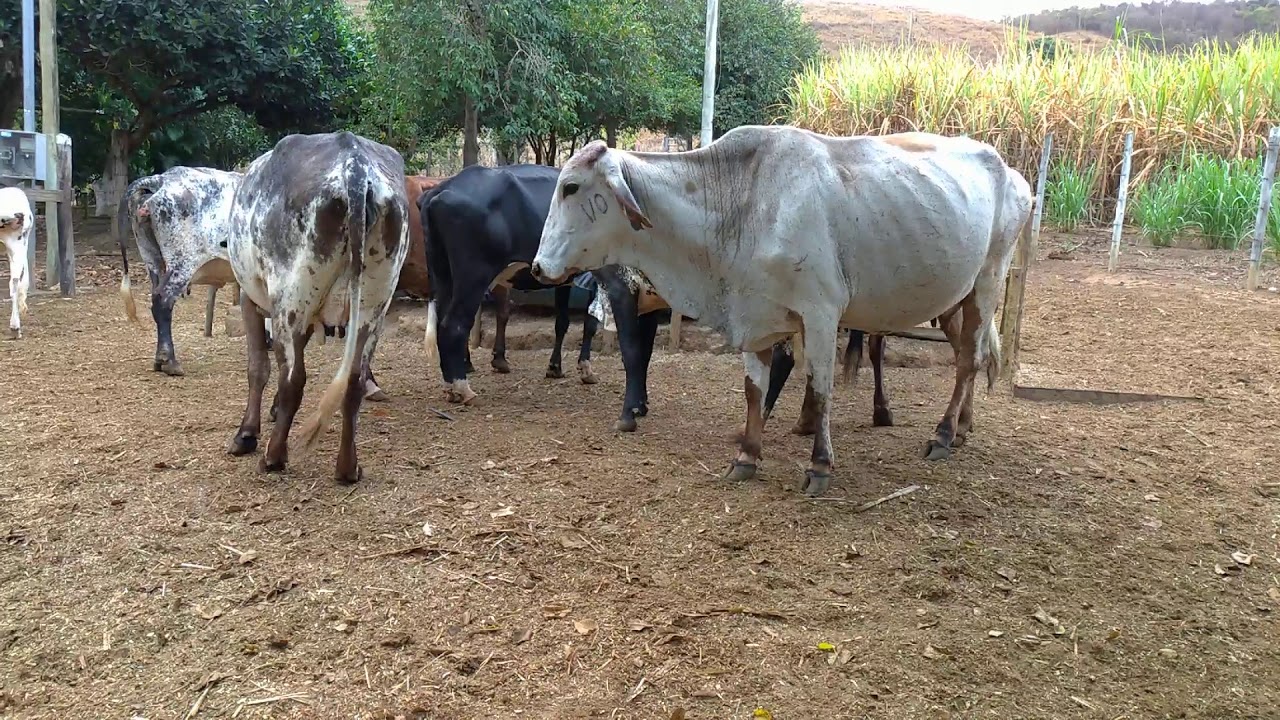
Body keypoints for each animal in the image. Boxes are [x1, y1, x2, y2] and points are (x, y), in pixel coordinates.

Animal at [225, 131, 410, 483]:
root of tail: (355, 164)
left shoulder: (250, 298)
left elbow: (259, 367)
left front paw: (246, 434)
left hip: (291, 299)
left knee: (293, 379)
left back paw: (273, 456)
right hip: (374, 304)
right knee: (353, 380)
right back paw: (348, 467)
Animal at [420, 163, 603, 406]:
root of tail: (440, 189)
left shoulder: (565, 278)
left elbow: (562, 322)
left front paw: (555, 367)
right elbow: (590, 323)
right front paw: (586, 370)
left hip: (442, 274)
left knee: (441, 323)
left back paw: (450, 387)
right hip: (474, 275)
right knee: (454, 325)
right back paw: (463, 388)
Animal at [531, 127, 1033, 497]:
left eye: (571, 186)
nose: (537, 266)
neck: (742, 203)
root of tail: (1012, 171)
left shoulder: (821, 312)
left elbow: (821, 387)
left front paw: (820, 465)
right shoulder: (752, 315)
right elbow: (754, 391)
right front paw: (746, 457)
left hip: (988, 281)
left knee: (968, 361)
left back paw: (943, 435)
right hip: (954, 299)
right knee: (972, 356)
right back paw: (963, 427)